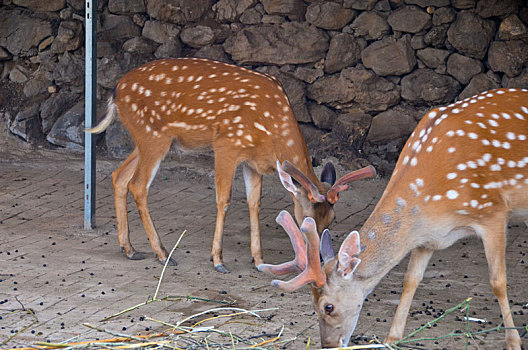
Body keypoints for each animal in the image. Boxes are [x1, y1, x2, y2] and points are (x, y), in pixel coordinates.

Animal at [86, 58, 376, 274]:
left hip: (146, 138)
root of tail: (116, 92)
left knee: (119, 176)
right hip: (153, 135)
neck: (271, 129)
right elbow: (223, 199)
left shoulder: (254, 162)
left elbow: (254, 203)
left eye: (333, 219)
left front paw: (258, 260)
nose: (321, 258)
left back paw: (130, 249)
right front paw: (218, 260)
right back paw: (162, 253)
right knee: (138, 185)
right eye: (307, 219)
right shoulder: (226, 144)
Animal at [260, 88, 528, 350]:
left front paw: (513, 341)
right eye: (312, 305)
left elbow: (497, 281)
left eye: (328, 306)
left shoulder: (492, 211)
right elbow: (410, 280)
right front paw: (392, 337)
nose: (328, 345)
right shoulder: (427, 237)